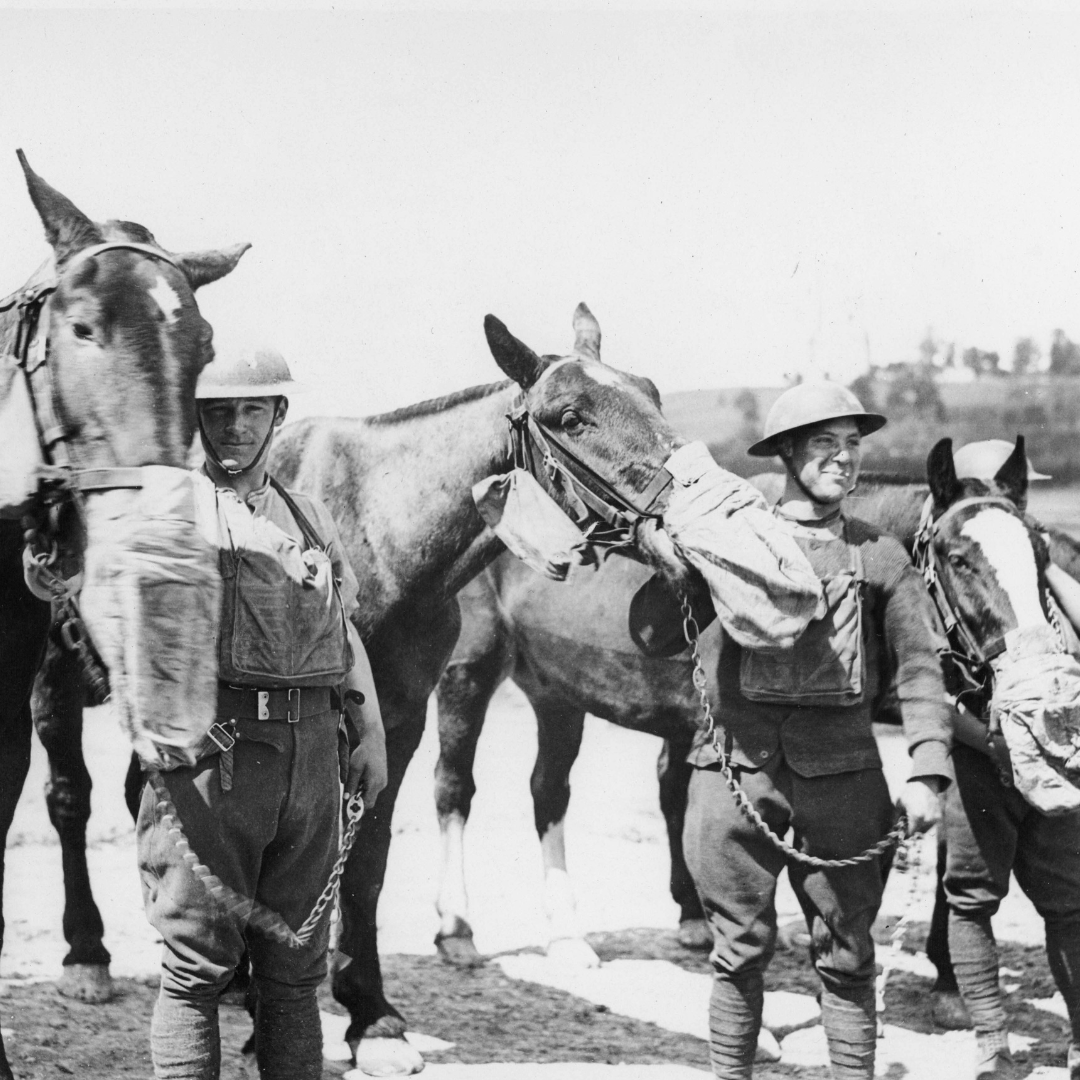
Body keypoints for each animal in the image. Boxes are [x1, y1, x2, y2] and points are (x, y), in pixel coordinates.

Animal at [432, 448, 1080, 979]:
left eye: (1040, 552)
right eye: (956, 558)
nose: (1039, 674)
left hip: (557, 694)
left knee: (550, 792)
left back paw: (571, 936)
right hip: (468, 676)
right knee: (454, 789)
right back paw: (457, 930)